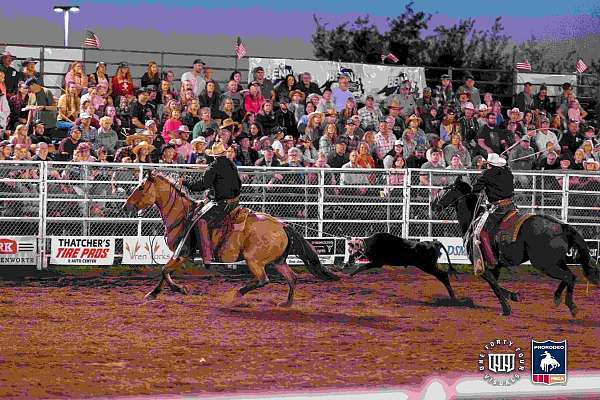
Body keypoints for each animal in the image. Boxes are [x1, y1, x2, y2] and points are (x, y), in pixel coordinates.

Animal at [123, 170, 338, 304]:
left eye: (140, 187)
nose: (126, 206)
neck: (184, 215)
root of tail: (283, 225)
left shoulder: (183, 253)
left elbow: (164, 271)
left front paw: (172, 291)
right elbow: (164, 271)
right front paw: (156, 293)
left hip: (254, 260)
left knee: (264, 280)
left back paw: (238, 293)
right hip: (278, 261)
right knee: (292, 278)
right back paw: (286, 304)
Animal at [434, 177, 596, 318]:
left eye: (447, 188)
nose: (435, 204)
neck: (475, 219)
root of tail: (561, 226)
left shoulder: (481, 264)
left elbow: (493, 284)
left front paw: (507, 306)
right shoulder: (496, 266)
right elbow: (495, 284)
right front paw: (513, 297)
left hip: (544, 264)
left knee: (568, 276)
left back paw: (569, 305)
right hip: (557, 261)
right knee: (571, 276)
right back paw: (559, 298)